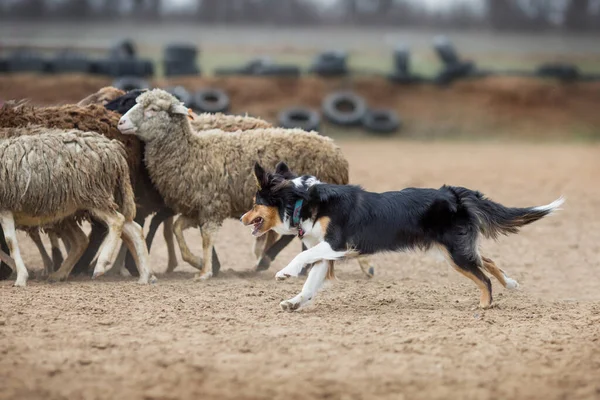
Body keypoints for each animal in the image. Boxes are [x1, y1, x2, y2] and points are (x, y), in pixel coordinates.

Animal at [0, 126, 154, 286]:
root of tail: (113, 150)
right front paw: (17, 270)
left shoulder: (5, 207)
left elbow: (10, 242)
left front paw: (21, 277)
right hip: (89, 201)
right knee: (134, 229)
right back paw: (144, 276)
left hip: (93, 194)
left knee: (117, 220)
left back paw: (101, 265)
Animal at [117, 88, 376, 280]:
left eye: (152, 110)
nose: (121, 122)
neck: (192, 150)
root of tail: (336, 151)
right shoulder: (197, 207)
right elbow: (177, 229)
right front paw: (199, 262)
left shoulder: (212, 205)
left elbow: (206, 238)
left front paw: (205, 271)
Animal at [240, 161, 564, 310]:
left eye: (255, 201)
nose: (242, 219)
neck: (303, 200)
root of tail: (455, 192)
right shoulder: (326, 253)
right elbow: (310, 284)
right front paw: (294, 302)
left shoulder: (337, 244)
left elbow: (304, 255)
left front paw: (285, 272)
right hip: (454, 248)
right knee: (488, 261)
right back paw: (510, 283)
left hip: (455, 253)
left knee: (483, 277)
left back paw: (485, 306)